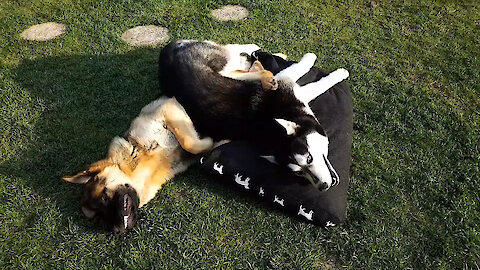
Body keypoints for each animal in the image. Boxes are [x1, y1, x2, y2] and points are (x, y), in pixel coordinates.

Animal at [158, 40, 348, 192]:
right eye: (299, 172)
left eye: (309, 158)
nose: (323, 187)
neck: (271, 128)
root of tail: (166, 51)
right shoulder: (290, 86)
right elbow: (317, 83)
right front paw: (336, 71)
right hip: (225, 62)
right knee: (231, 51)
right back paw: (255, 56)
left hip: (227, 67)